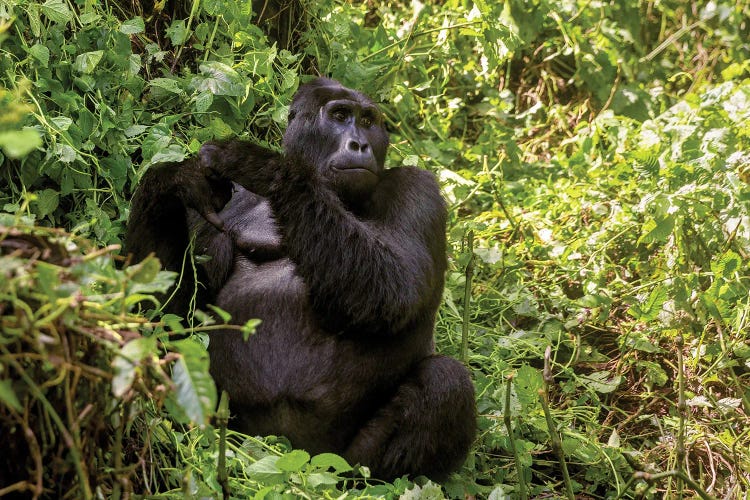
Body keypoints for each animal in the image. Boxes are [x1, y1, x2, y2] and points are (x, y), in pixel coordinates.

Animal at [125, 78, 476, 480]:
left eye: (367, 121)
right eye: (340, 116)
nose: (360, 144)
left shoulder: (419, 189)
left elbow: (398, 287)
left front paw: (266, 167)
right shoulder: (220, 204)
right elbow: (172, 312)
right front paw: (170, 180)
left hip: (334, 462)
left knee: (445, 381)